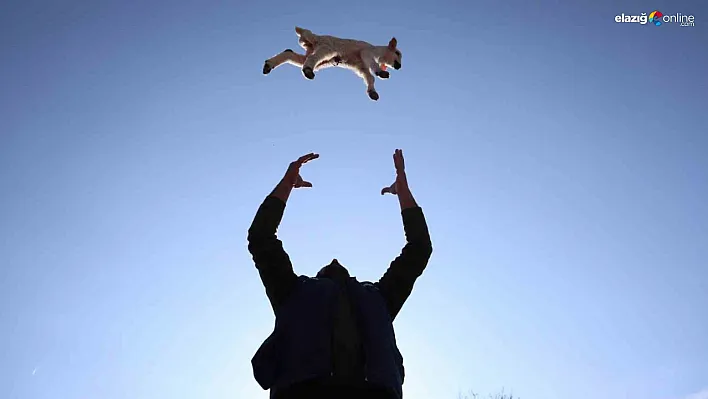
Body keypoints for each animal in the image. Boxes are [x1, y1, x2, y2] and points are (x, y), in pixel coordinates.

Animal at [262, 26, 404, 101]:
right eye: (397, 53)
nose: (399, 66)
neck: (377, 50)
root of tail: (316, 37)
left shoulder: (360, 65)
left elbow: (369, 77)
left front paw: (372, 93)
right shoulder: (366, 53)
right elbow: (372, 66)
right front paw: (381, 72)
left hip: (316, 52)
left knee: (291, 54)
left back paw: (268, 65)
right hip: (327, 48)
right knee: (312, 58)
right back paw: (308, 71)